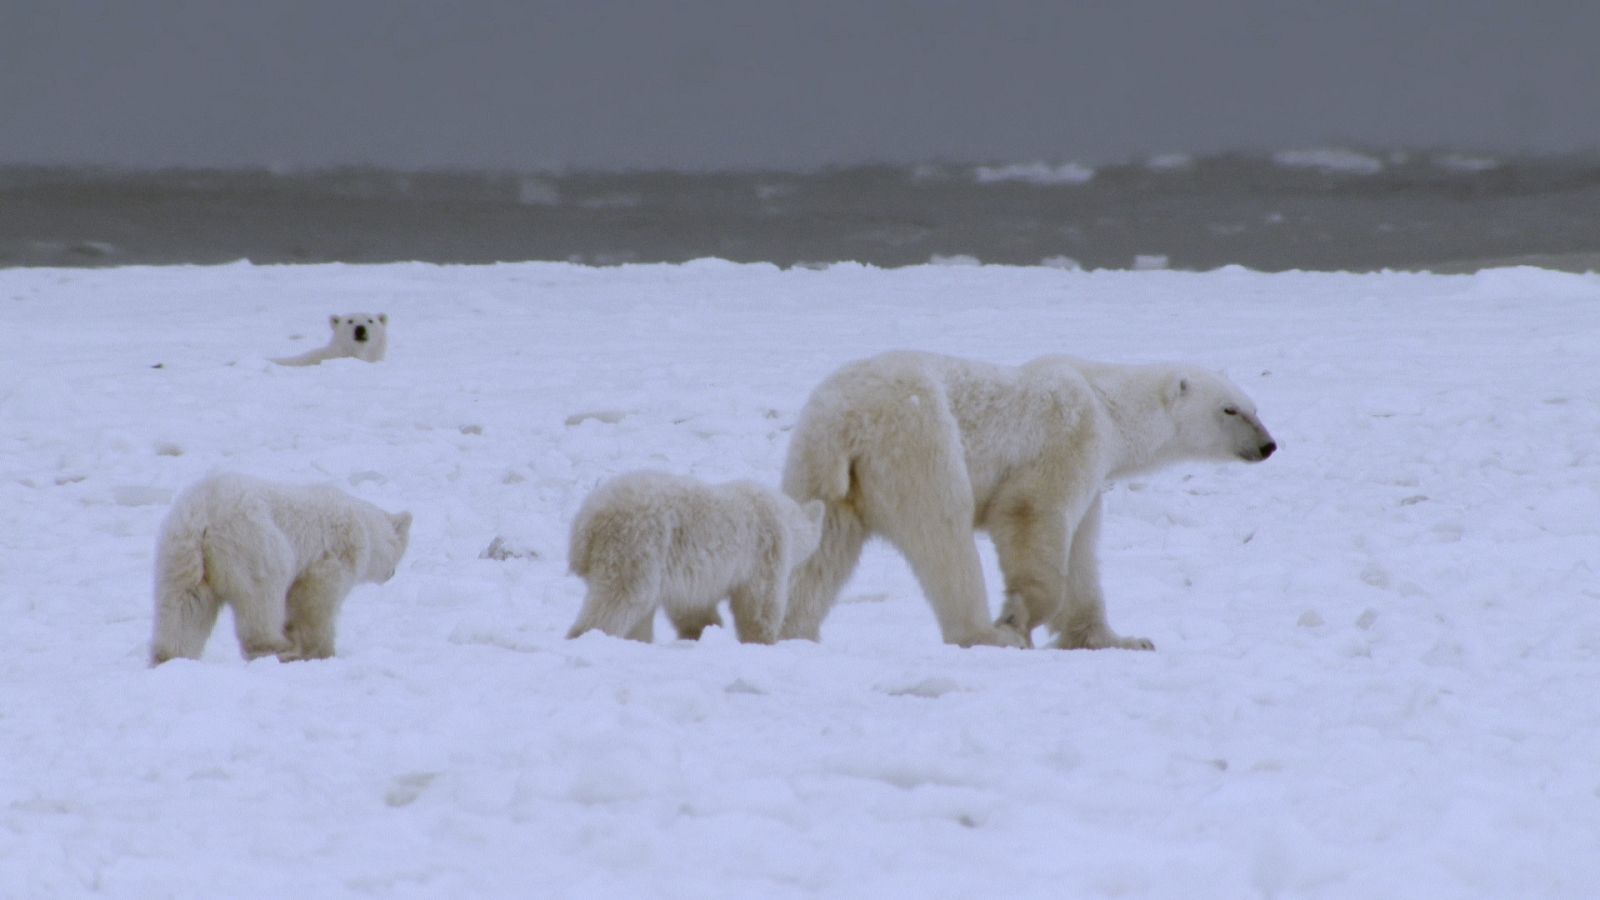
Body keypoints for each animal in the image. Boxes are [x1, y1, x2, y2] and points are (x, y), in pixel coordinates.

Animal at [149, 473, 412, 665]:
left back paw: (171, 657)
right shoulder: (333, 554)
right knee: (261, 600)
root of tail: (203, 516)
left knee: (184, 605)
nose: (392, 574)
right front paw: (322, 650)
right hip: (255, 543)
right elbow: (315, 600)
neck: (365, 528)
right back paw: (280, 648)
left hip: (179, 550)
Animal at [566, 471, 825, 644]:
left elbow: (691, 607)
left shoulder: (692, 577)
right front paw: (763, 640)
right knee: (621, 598)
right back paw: (588, 634)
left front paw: (702, 631)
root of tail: (588, 524)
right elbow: (759, 603)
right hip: (636, 545)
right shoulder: (765, 549)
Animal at [780, 350, 1276, 650]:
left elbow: (1082, 554)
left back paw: (796, 630)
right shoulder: (1067, 439)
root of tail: (846, 420)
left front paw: (1121, 639)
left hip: (819, 464)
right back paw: (986, 633)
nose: (1268, 446)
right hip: (917, 438)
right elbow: (1030, 514)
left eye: (1256, 408)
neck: (1106, 405)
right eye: (1231, 409)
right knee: (943, 532)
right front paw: (1015, 619)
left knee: (818, 548)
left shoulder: (1093, 477)